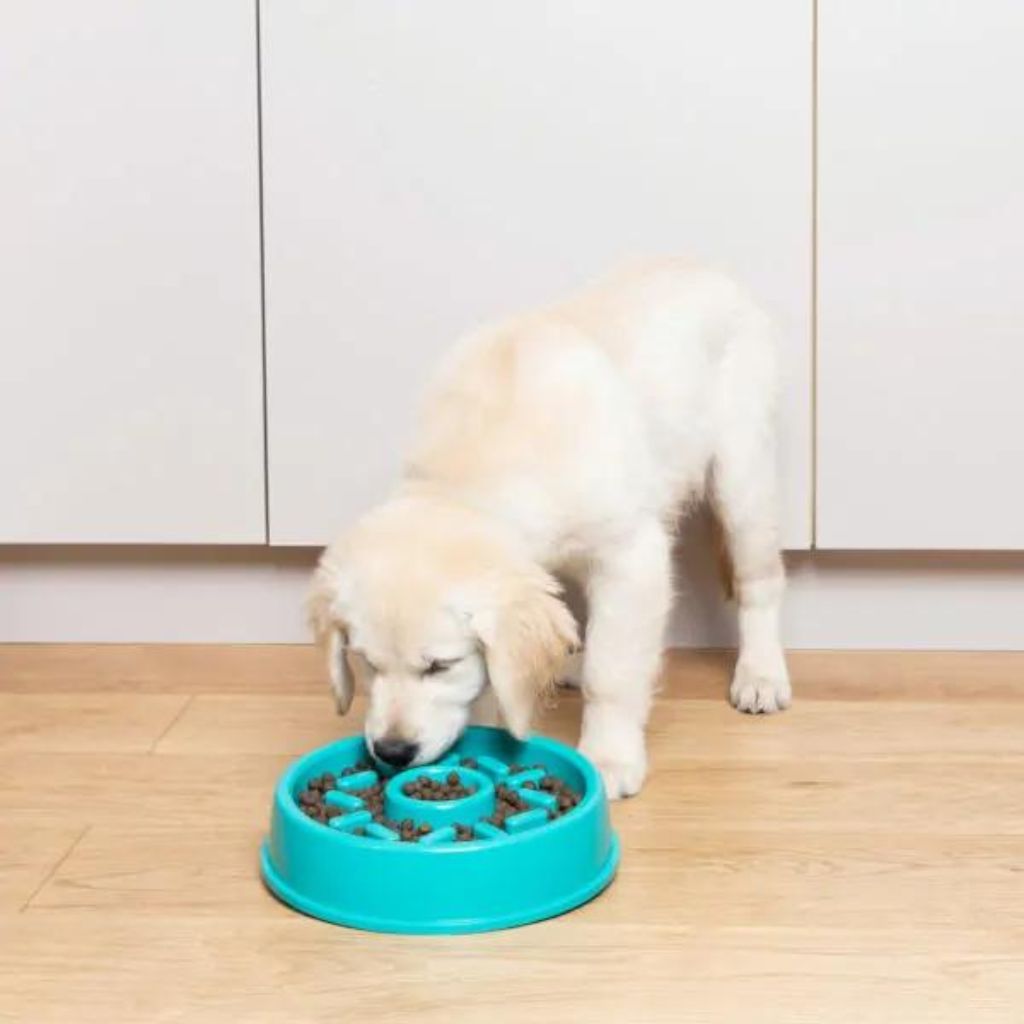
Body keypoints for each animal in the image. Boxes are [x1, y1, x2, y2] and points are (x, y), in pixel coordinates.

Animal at [307, 258, 786, 798]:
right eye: (367, 663)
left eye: (440, 666)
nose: (392, 751)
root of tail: (699, 265)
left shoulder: (631, 558)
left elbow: (612, 671)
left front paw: (609, 756)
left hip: (741, 479)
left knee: (760, 583)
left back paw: (761, 674)